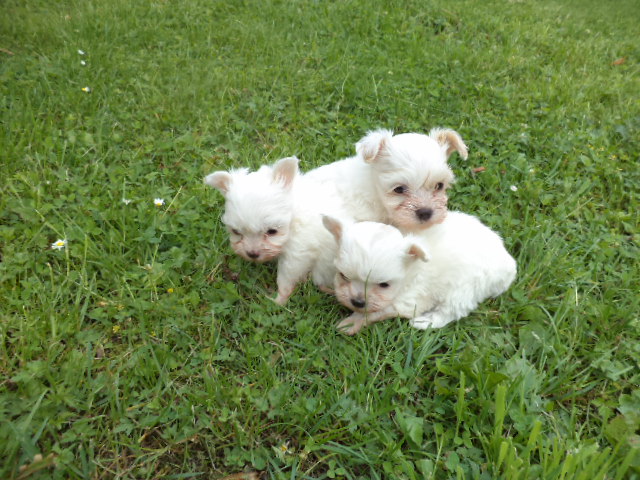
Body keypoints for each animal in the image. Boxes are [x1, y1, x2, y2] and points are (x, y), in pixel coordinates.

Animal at [205, 156, 349, 304]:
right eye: (236, 232)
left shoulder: (298, 252)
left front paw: (278, 300)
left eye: (272, 231)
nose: (252, 254)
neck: (293, 216)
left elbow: (287, 276)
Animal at [322, 212, 516, 335]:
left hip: (464, 289)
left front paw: (351, 322)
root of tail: (508, 265)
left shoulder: (410, 300)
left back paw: (423, 322)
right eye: (344, 276)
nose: (357, 302)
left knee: (450, 312)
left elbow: (374, 312)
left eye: (384, 285)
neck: (412, 270)